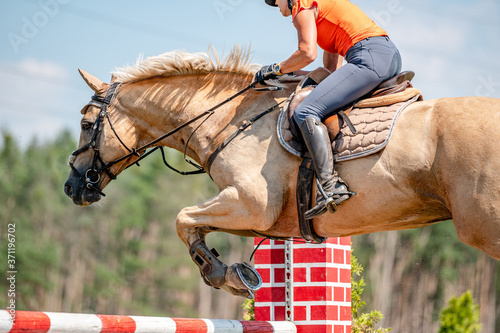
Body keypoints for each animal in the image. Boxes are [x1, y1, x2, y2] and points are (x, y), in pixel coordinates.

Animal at [65, 46, 500, 296]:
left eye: (86, 123)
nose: (71, 186)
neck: (231, 117)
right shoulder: (263, 220)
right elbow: (192, 223)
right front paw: (233, 272)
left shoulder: (251, 205)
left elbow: (182, 218)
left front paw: (225, 275)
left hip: (484, 224)